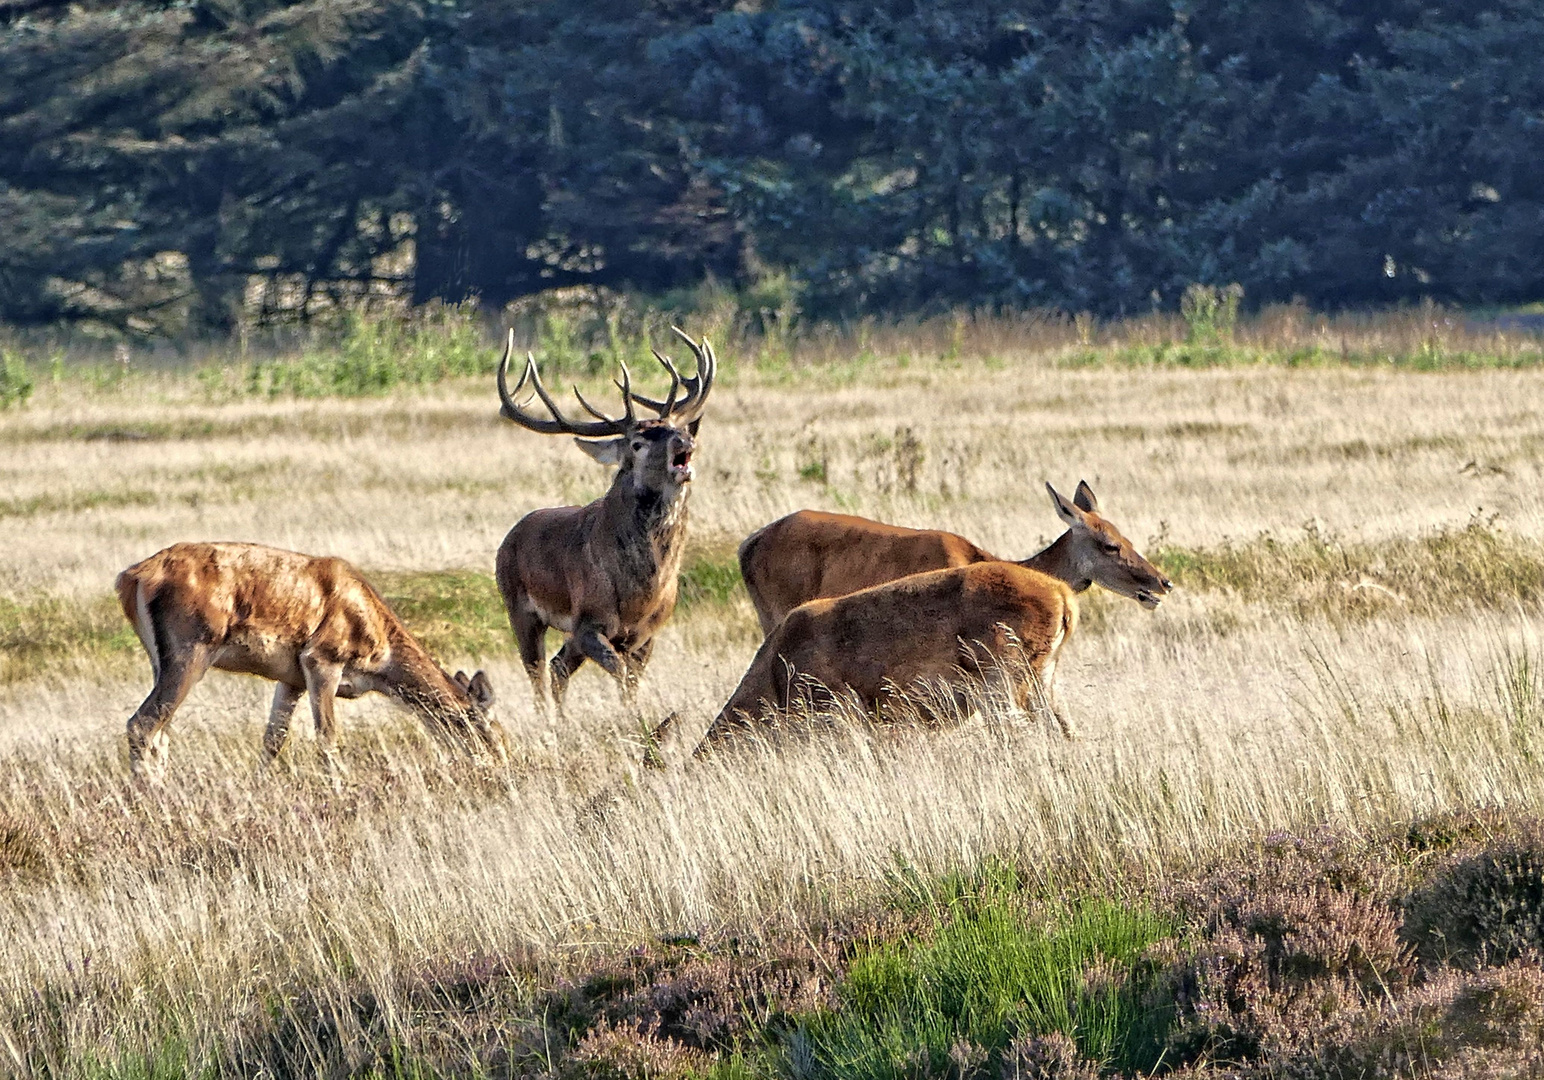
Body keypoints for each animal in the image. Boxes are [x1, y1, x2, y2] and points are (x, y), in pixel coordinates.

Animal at [121, 540, 506, 784]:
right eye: (488, 730)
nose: (501, 768)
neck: (380, 661)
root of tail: (130, 578)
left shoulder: (290, 678)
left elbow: (273, 739)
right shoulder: (322, 659)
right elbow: (327, 736)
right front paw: (340, 790)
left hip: (160, 661)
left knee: (161, 732)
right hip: (191, 651)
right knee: (142, 724)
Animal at [490, 326, 713, 713]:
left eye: (672, 425)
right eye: (637, 443)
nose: (684, 438)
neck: (641, 595)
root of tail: (510, 537)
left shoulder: (647, 633)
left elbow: (632, 684)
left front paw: (633, 717)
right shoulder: (588, 622)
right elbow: (620, 674)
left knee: (558, 668)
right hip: (516, 603)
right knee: (537, 673)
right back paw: (548, 720)